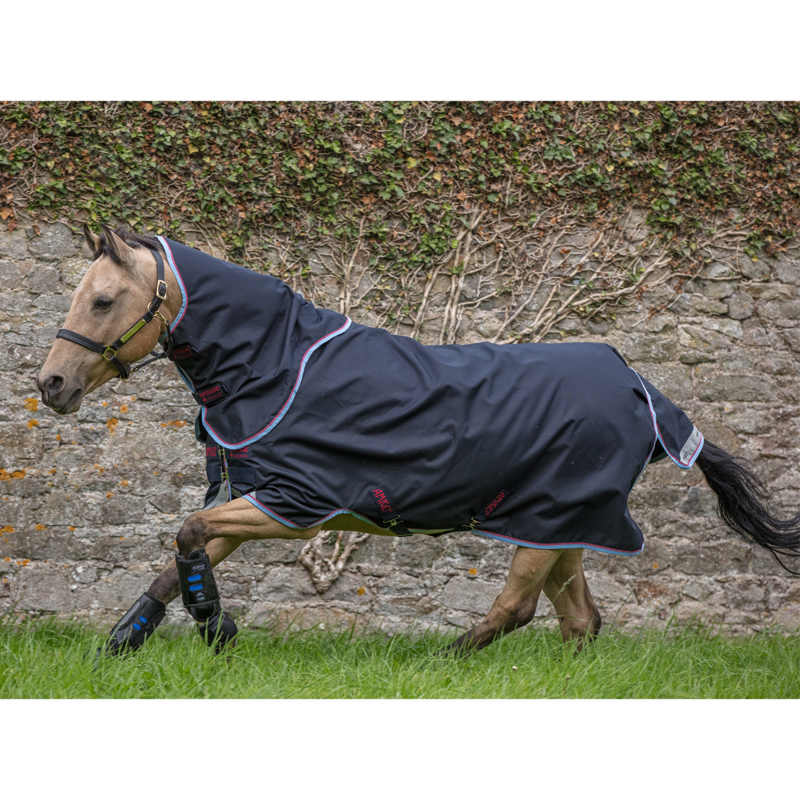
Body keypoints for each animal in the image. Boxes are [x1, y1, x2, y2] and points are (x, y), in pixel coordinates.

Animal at [36, 224, 800, 656]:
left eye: (102, 300)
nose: (52, 384)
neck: (278, 364)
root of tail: (641, 388)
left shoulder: (293, 504)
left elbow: (188, 534)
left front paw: (214, 628)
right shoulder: (259, 499)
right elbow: (181, 553)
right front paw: (128, 640)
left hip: (553, 516)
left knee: (522, 606)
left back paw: (447, 659)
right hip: (567, 523)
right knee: (580, 620)